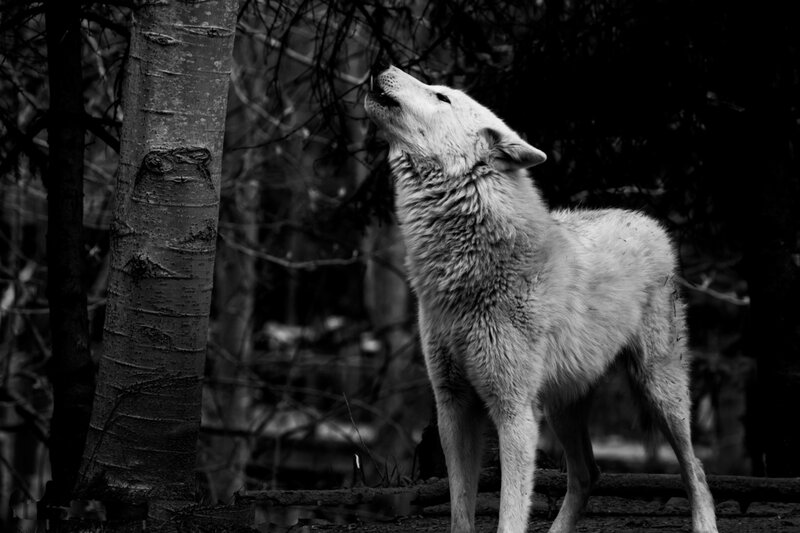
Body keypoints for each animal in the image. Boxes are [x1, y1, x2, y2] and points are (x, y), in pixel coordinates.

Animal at [364, 66, 718, 533]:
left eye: (442, 97)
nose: (384, 66)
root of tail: (646, 219)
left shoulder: (514, 410)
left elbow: (510, 516)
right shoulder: (452, 405)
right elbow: (460, 512)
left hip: (660, 391)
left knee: (696, 470)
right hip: (562, 406)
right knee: (589, 474)